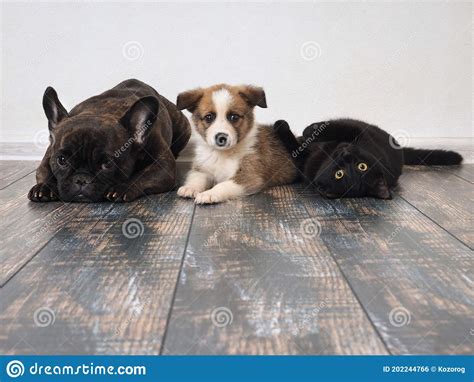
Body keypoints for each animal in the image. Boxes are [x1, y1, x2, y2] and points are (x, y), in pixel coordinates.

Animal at [274, 118, 462, 198]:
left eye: (339, 174)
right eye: (362, 166)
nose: (346, 155)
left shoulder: (355, 130)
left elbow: (333, 128)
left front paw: (305, 129)